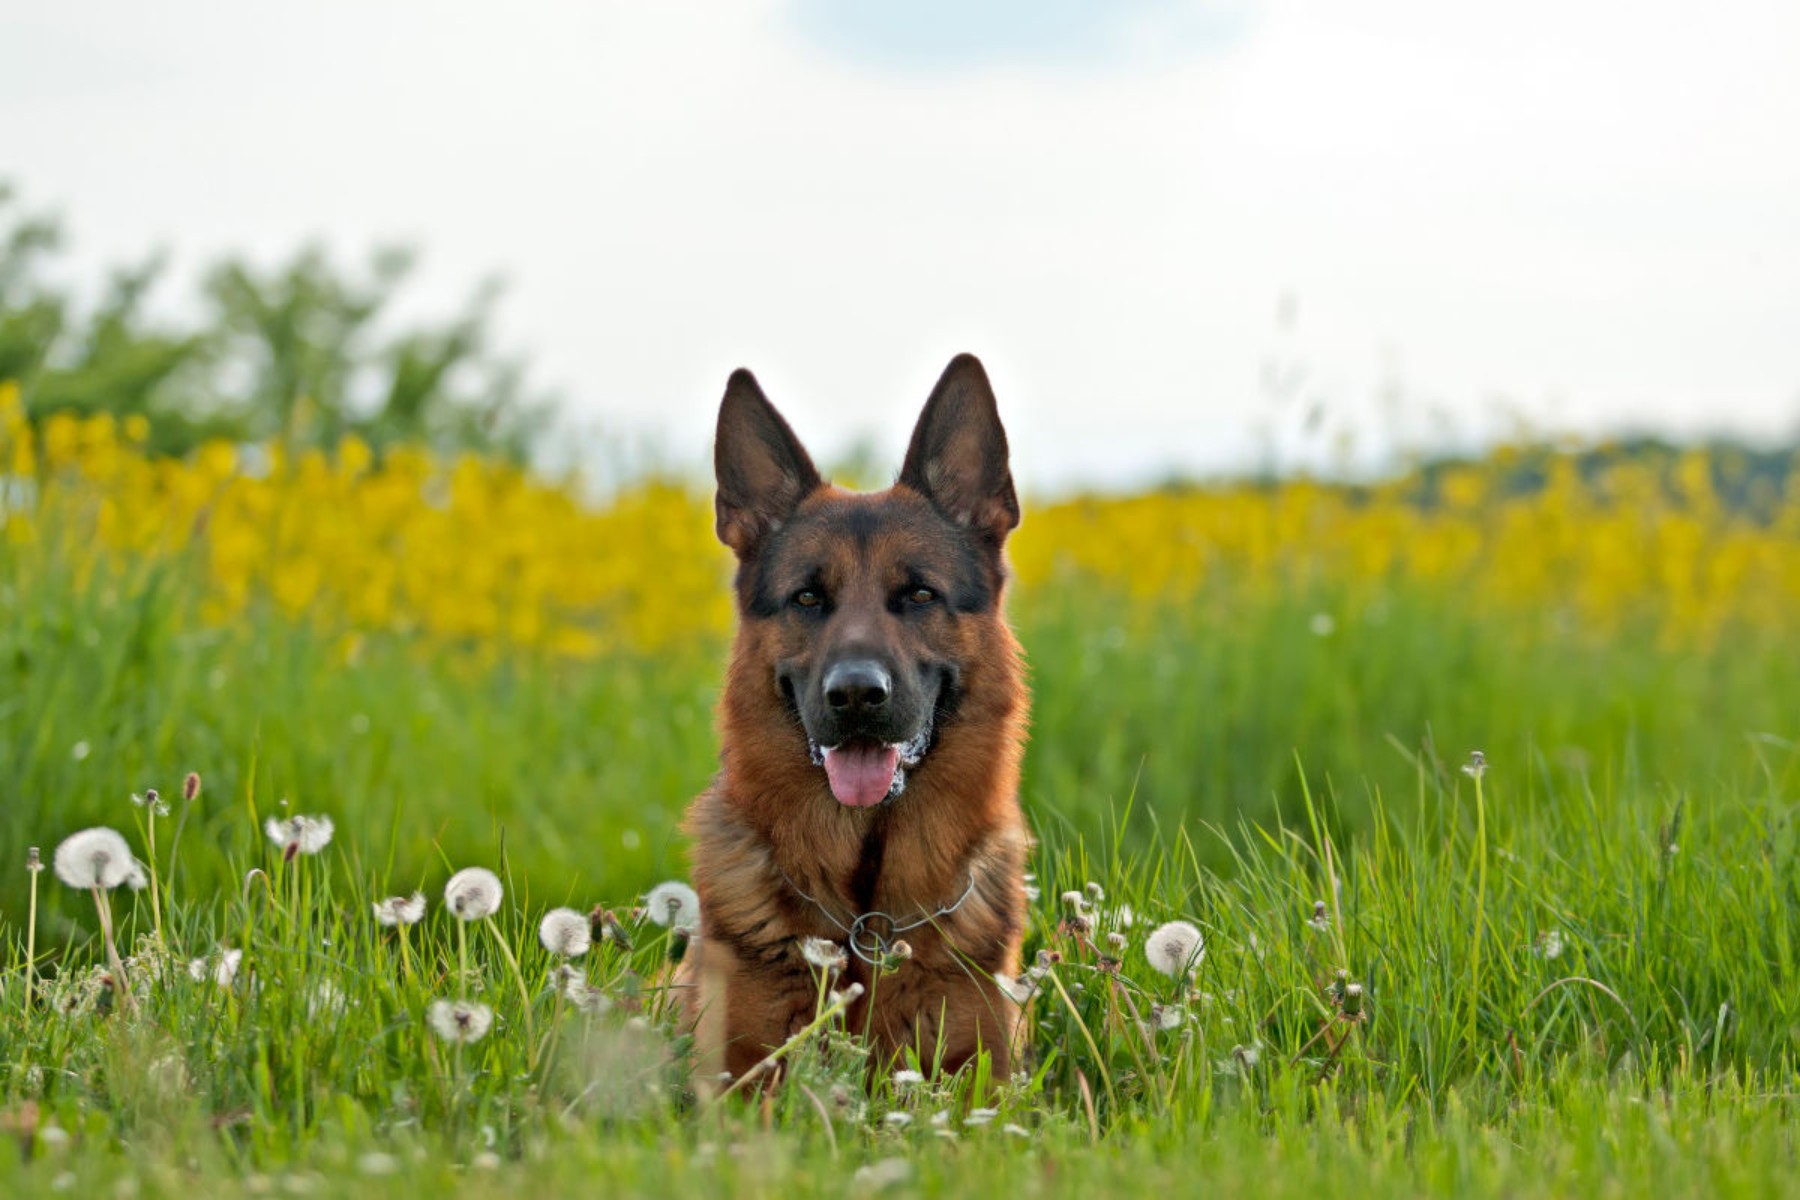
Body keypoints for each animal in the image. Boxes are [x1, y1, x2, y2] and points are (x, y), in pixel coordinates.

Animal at [676, 354, 1036, 1086]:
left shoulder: (985, 1080)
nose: (856, 695)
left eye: (919, 593)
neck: (867, 908)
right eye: (808, 597)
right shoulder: (734, 1077)